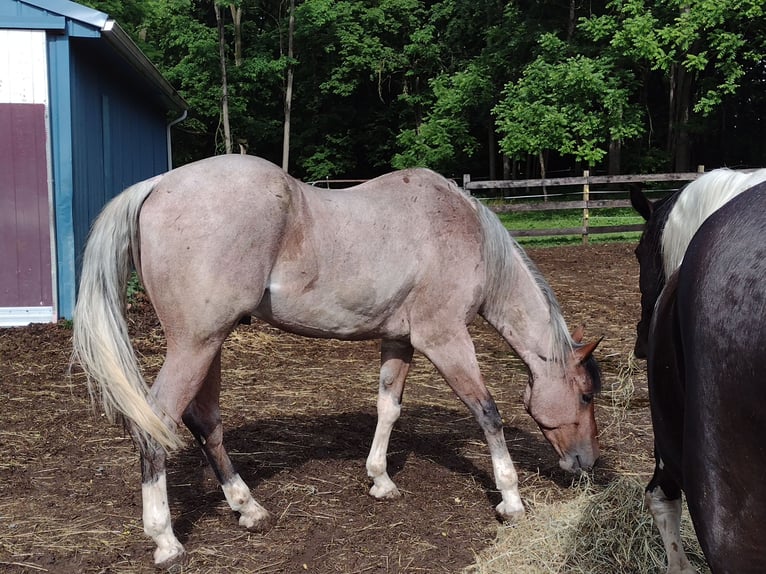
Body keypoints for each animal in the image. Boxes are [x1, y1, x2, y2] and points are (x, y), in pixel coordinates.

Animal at [72, 154, 602, 568]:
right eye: (585, 395)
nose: (586, 464)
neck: (459, 228)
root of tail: (156, 185)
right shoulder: (446, 340)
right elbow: (487, 413)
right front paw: (511, 498)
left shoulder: (399, 342)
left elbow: (388, 408)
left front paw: (381, 480)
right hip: (195, 345)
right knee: (156, 424)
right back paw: (165, 539)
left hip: (208, 345)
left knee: (205, 423)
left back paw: (248, 508)